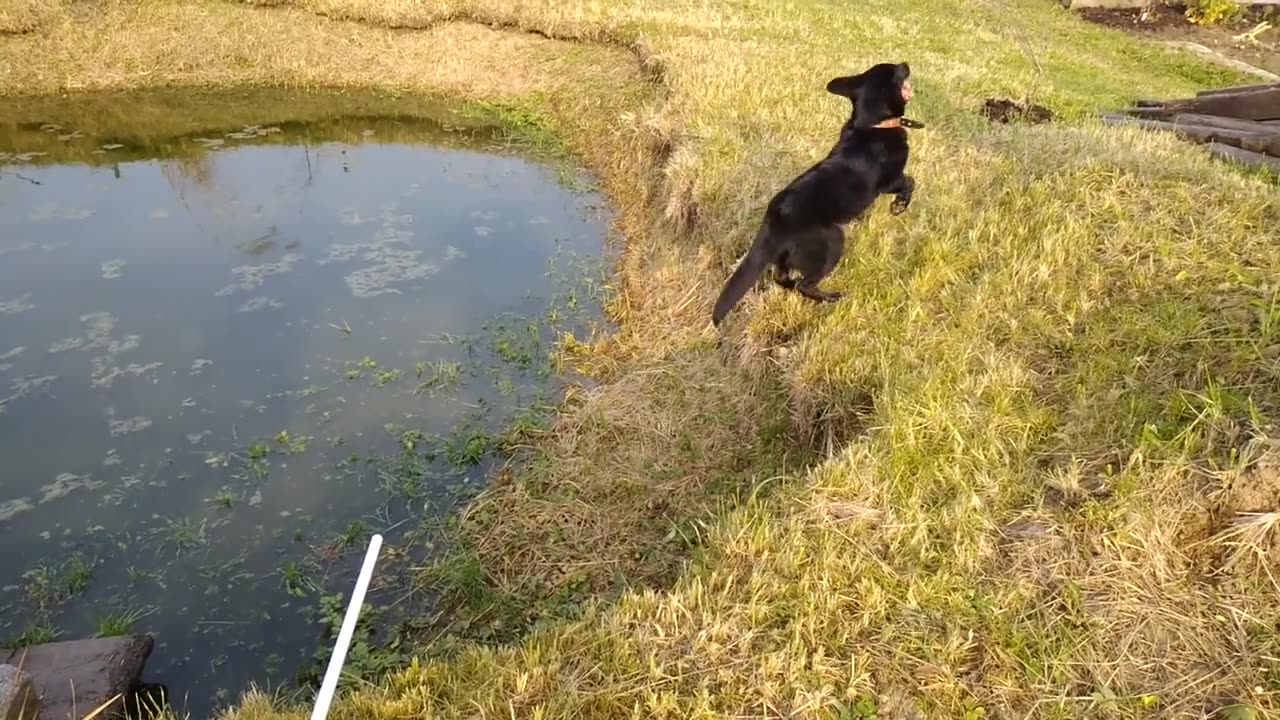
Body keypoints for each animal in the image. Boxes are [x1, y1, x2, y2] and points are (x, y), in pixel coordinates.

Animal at [711, 61, 921, 325]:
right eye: (895, 69)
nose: (906, 63)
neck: (872, 123)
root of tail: (774, 221)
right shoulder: (890, 181)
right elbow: (909, 182)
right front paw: (899, 206)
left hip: (785, 257)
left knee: (783, 278)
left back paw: (794, 286)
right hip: (832, 241)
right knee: (806, 284)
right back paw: (831, 298)